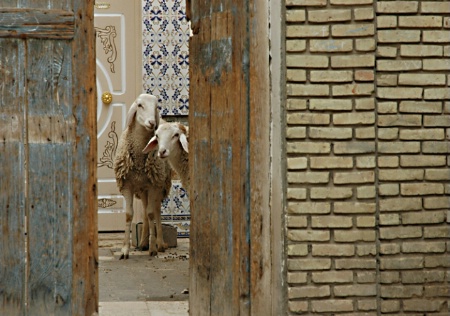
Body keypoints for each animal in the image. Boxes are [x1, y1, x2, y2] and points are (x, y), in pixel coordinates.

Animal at [113, 94, 171, 260]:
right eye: (139, 105)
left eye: (156, 106)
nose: (152, 123)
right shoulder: (127, 185)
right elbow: (129, 215)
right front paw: (124, 250)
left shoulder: (153, 185)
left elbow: (152, 213)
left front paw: (153, 248)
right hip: (143, 189)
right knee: (145, 209)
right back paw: (144, 241)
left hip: (159, 184)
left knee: (155, 210)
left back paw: (159, 243)